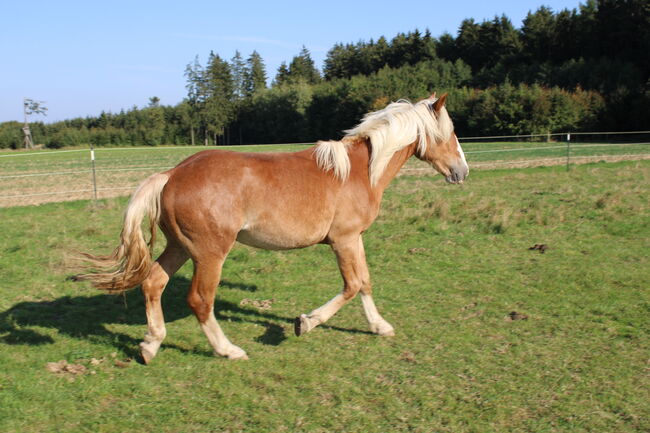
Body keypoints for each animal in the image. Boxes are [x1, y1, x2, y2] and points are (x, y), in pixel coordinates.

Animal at [76, 93, 466, 362]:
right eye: (450, 132)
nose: (461, 172)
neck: (359, 171)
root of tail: (172, 174)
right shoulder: (343, 240)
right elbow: (352, 285)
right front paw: (304, 322)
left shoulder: (355, 239)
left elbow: (365, 283)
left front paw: (379, 326)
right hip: (209, 254)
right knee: (200, 300)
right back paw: (228, 350)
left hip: (180, 247)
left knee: (153, 282)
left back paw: (150, 344)